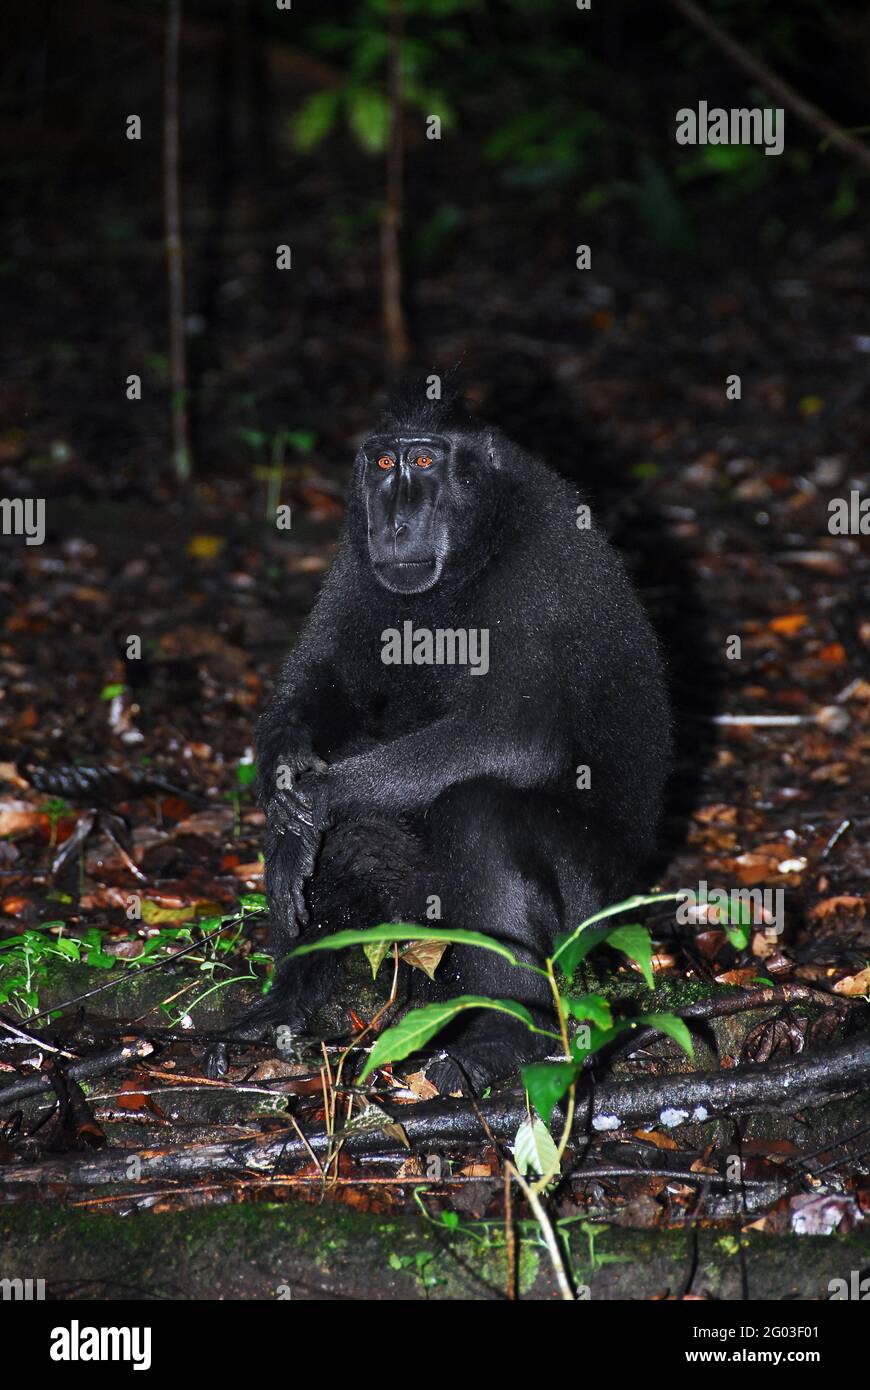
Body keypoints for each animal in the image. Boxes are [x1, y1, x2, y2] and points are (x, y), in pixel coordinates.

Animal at [211, 384, 671, 1094]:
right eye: (382, 465)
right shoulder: (353, 564)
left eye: (425, 462)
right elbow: (319, 682)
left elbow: (518, 738)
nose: (396, 522)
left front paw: (314, 802)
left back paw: (505, 1034)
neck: (481, 545)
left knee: (481, 809)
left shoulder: (537, 572)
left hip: (593, 912)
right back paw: (289, 999)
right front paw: (286, 792)